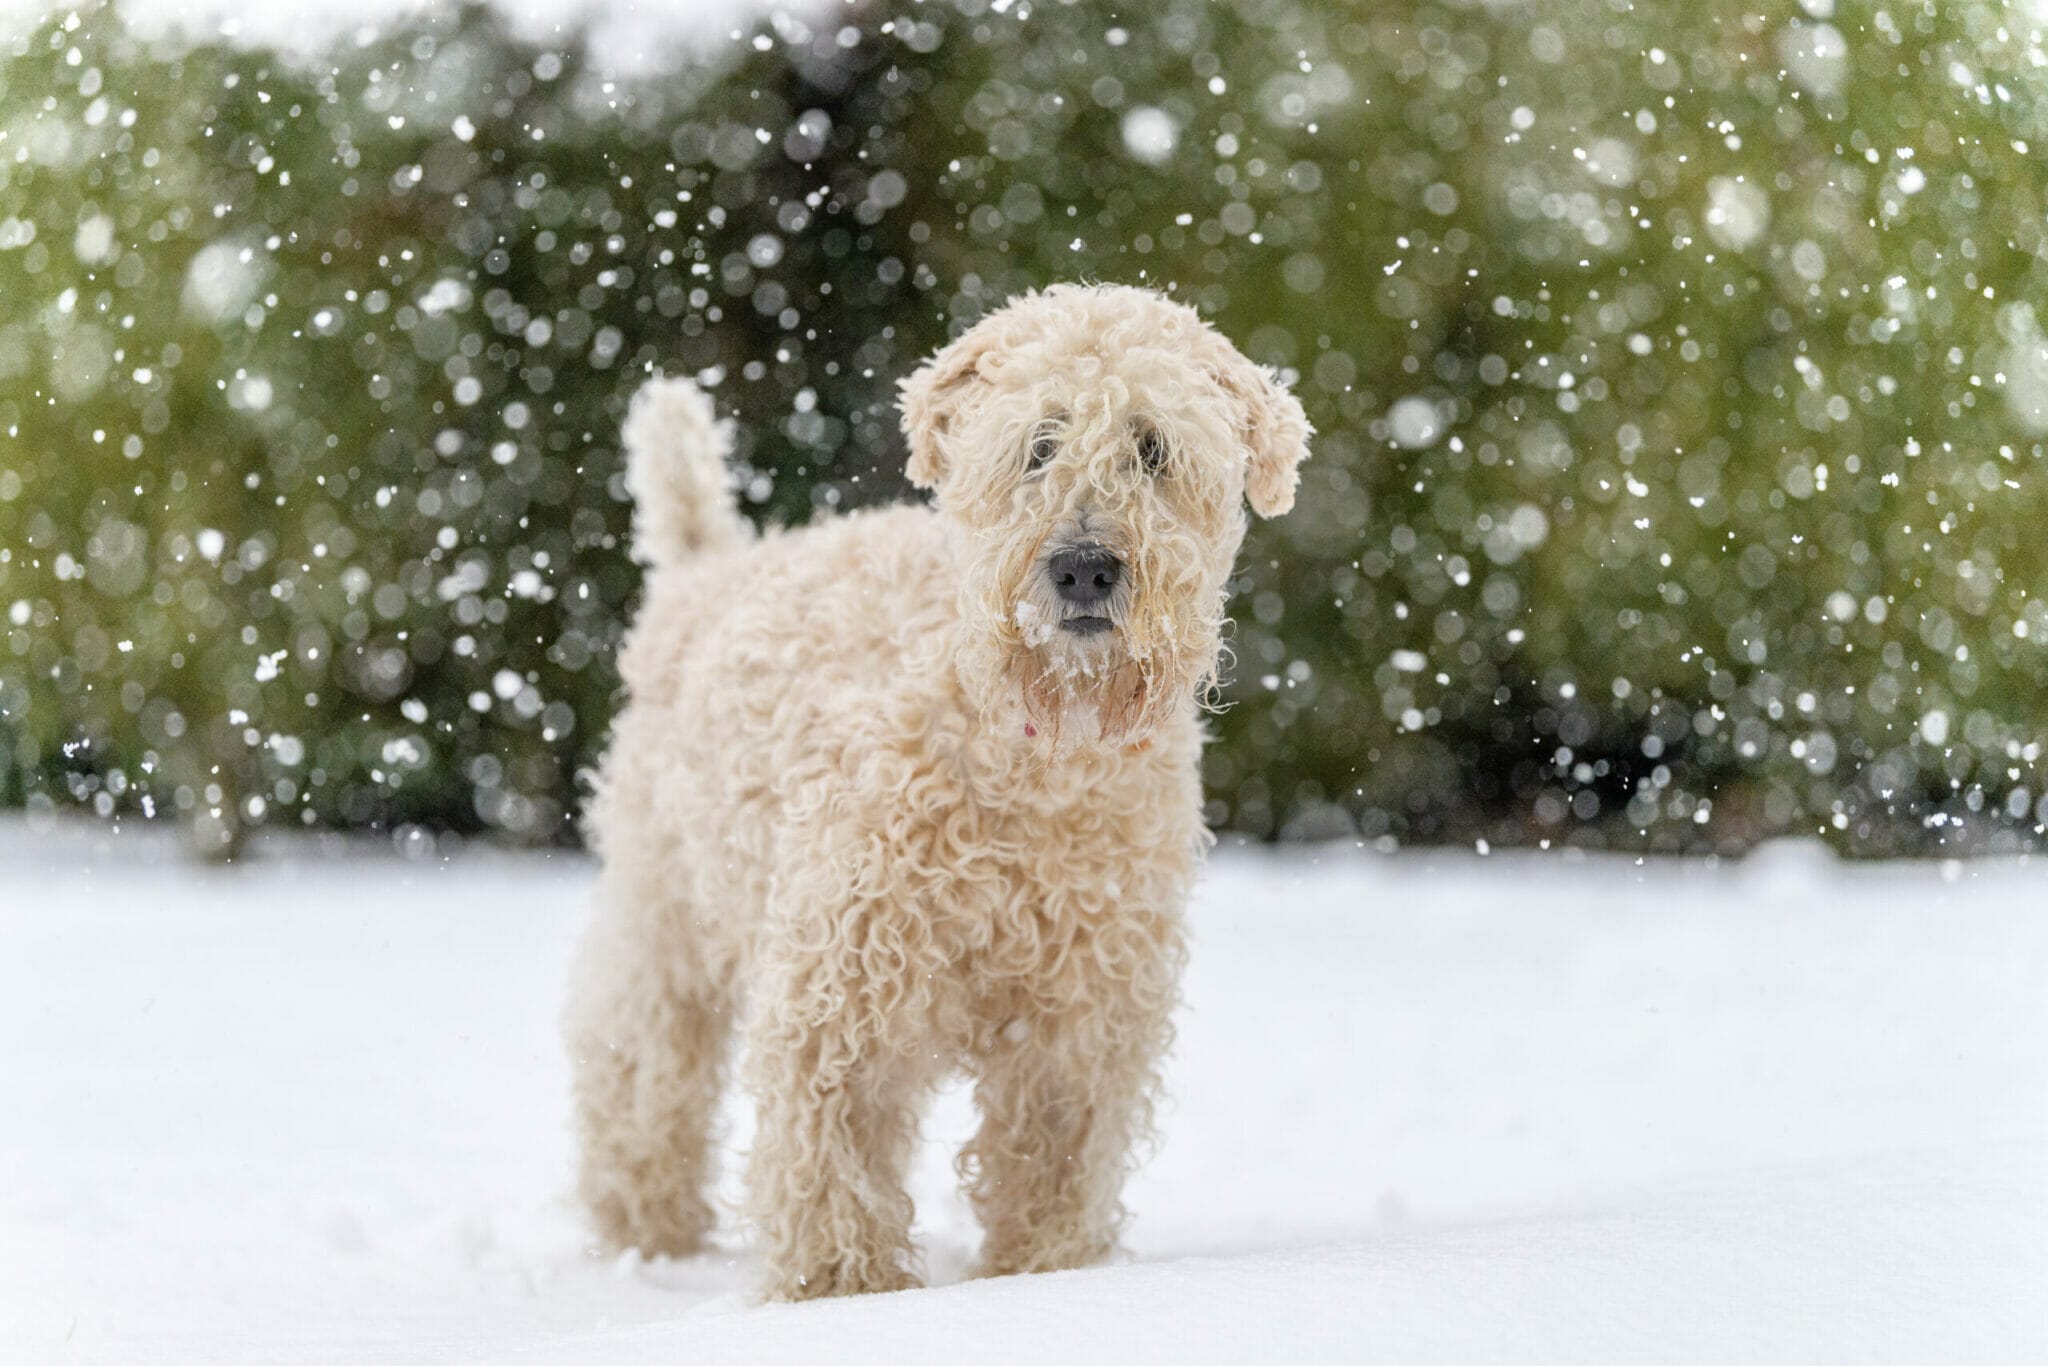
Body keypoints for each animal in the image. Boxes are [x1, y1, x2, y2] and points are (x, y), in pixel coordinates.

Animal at [561, 280, 1310, 1302]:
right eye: (1039, 443)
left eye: (1153, 447)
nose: (1083, 565)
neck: (1032, 765)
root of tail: (703, 568)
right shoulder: (842, 985)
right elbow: (830, 1165)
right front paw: (840, 1293)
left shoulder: (1082, 1014)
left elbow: (1052, 1165)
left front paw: (1042, 1273)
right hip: (663, 911)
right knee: (637, 1069)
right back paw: (648, 1233)